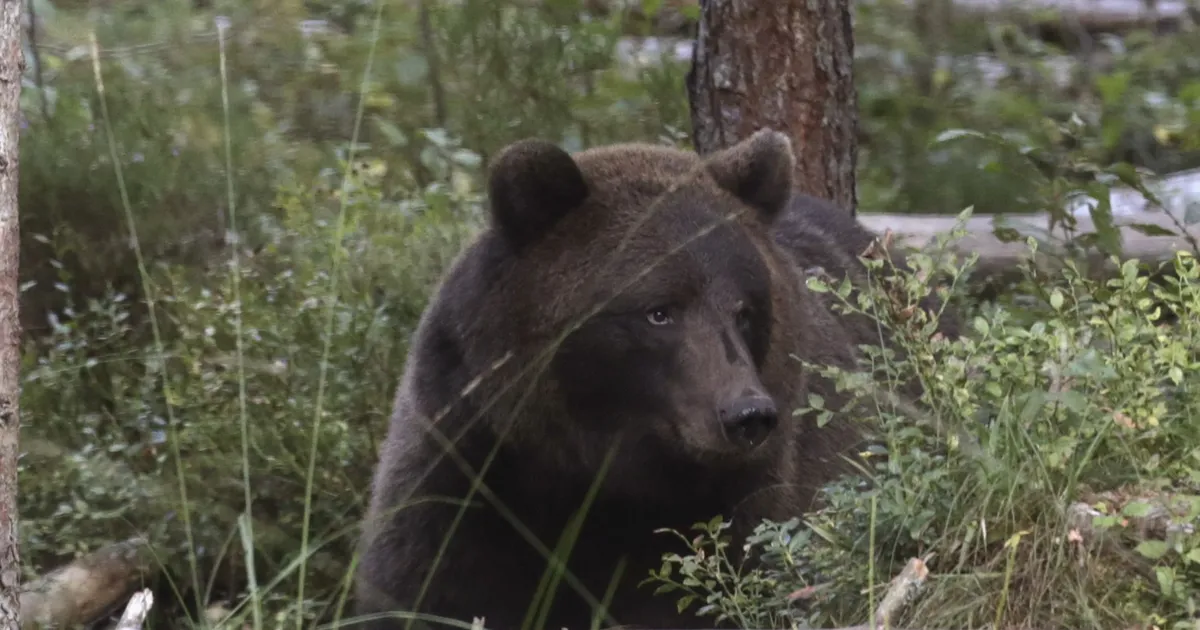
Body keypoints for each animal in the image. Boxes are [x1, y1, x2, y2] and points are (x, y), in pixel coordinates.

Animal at [350, 129, 960, 628]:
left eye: (744, 309)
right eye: (659, 311)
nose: (746, 415)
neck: (596, 474)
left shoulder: (743, 499)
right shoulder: (469, 466)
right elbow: (427, 589)